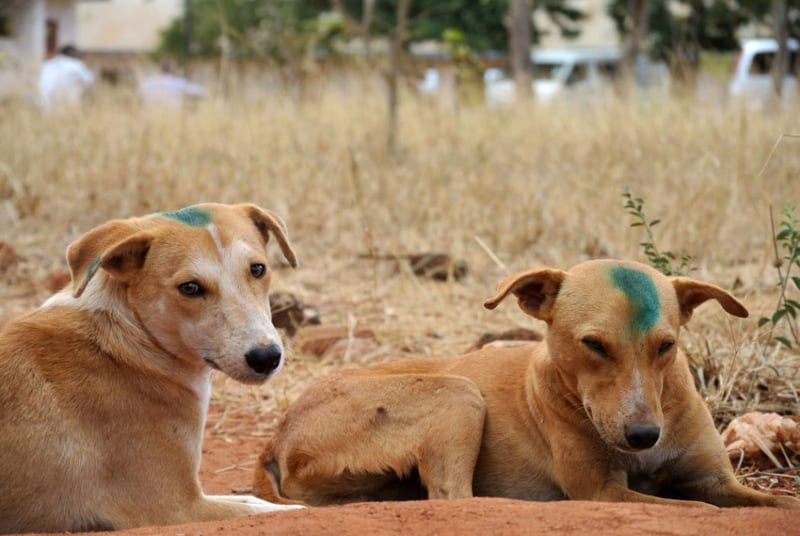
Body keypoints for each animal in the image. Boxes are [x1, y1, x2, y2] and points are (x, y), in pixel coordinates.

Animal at [0, 202, 304, 532]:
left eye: (257, 269)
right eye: (190, 287)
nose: (266, 357)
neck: (131, 339)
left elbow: (255, 499)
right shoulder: (180, 508)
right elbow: (275, 509)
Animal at [255, 262, 800, 508]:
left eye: (666, 346)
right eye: (593, 345)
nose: (645, 436)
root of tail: (276, 437)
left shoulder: (718, 481)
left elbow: (775, 503)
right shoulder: (599, 491)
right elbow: (688, 508)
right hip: (459, 393)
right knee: (455, 498)